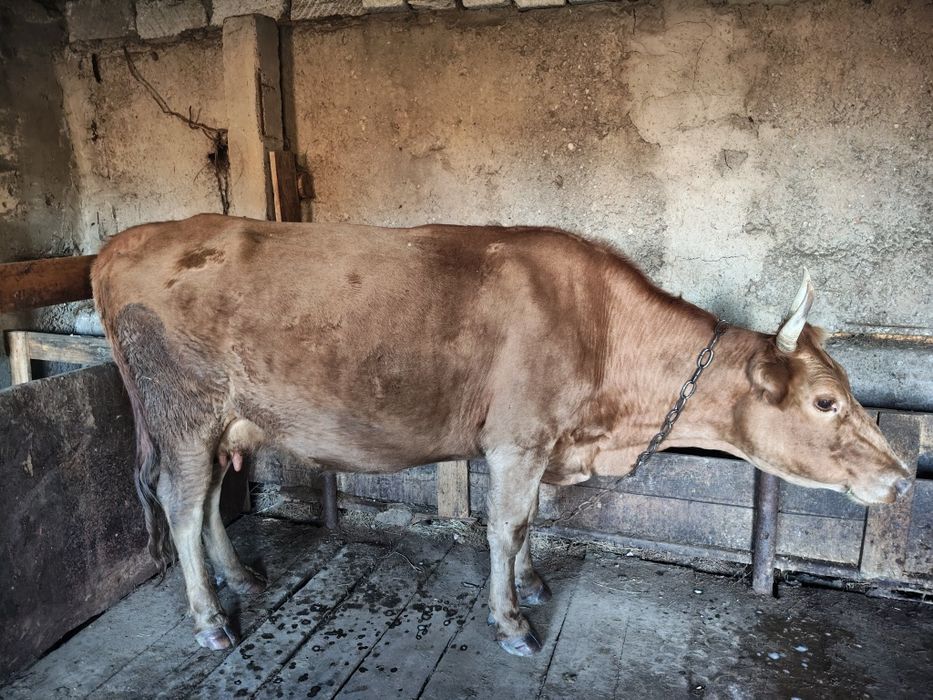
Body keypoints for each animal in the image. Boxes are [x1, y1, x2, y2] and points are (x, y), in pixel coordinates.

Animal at [91, 214, 909, 657]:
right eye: (826, 401)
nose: (901, 478)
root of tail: (125, 242)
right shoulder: (519, 439)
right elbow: (507, 524)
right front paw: (512, 617)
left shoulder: (542, 444)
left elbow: (530, 523)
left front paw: (533, 580)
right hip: (183, 413)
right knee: (183, 504)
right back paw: (210, 620)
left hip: (222, 421)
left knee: (209, 500)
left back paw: (239, 578)